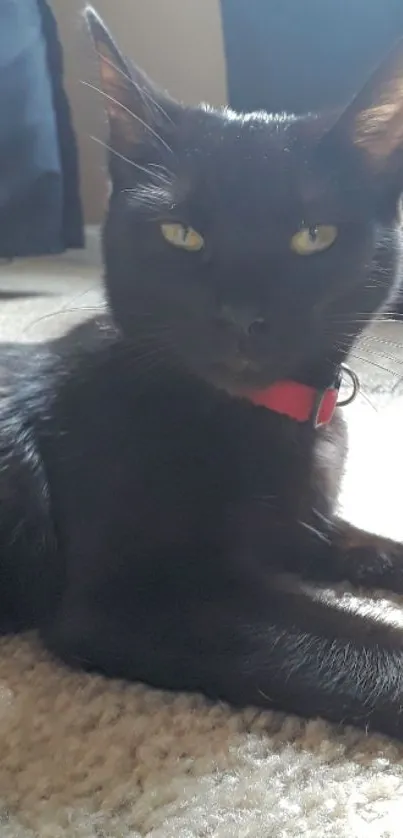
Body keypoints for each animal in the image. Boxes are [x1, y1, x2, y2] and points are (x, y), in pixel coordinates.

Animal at [0, 6, 403, 740]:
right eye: (179, 233)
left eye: (313, 236)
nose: (240, 315)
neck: (263, 419)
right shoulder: (137, 601)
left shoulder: (303, 530)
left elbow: (373, 544)